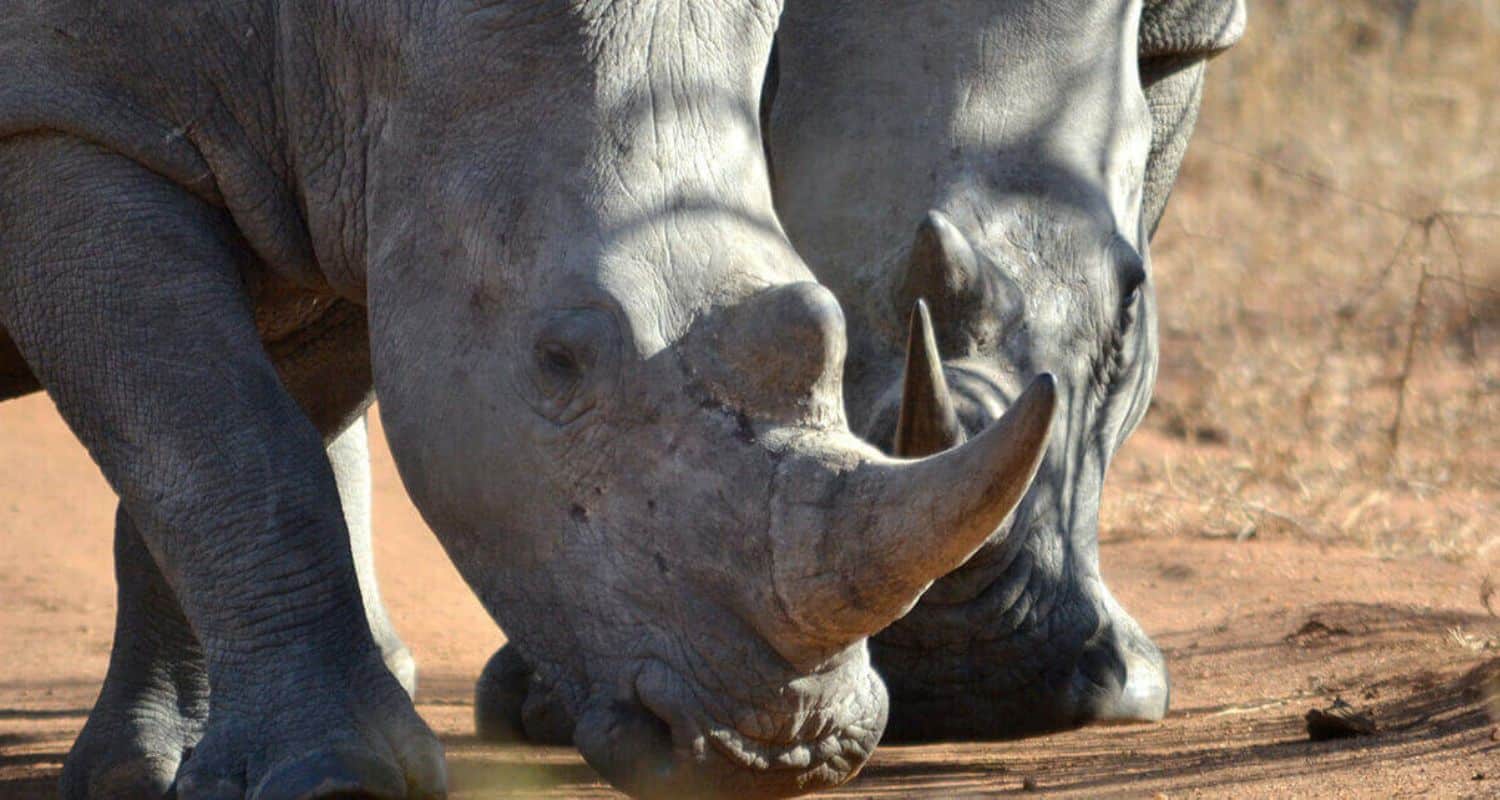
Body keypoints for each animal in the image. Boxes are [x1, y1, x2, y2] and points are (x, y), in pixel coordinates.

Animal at [2, 1, 1056, 798]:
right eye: (558, 363)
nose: (790, 751)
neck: (349, 37)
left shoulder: (340, 183)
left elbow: (225, 453)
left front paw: (162, 773)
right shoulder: (58, 119)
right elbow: (229, 455)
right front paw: (338, 781)